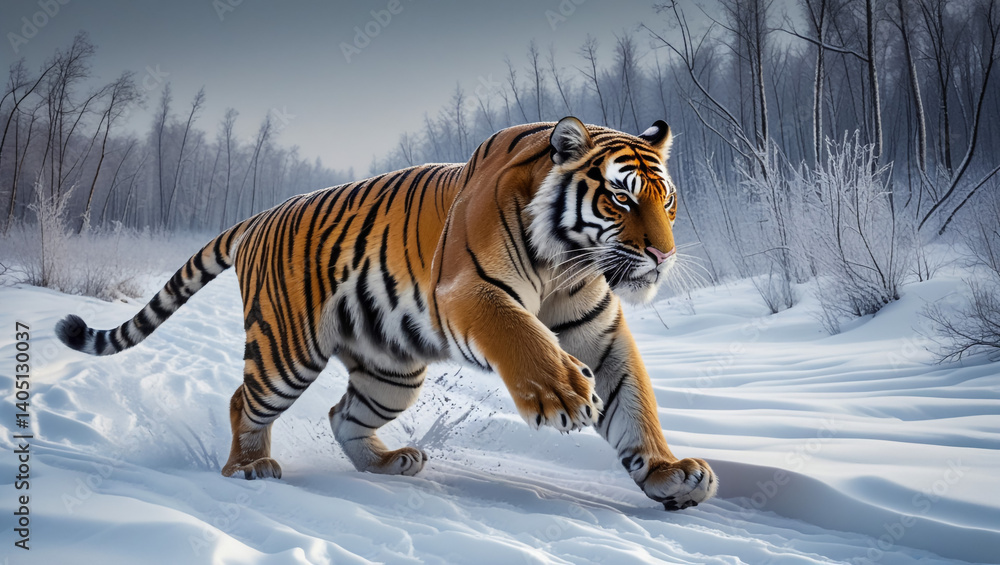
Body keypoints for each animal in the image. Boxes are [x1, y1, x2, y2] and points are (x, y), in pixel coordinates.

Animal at [55, 117, 718, 510]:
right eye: (621, 197)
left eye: (668, 202)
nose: (664, 254)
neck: (567, 260)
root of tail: (261, 215)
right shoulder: (467, 292)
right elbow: (522, 336)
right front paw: (563, 396)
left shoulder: (597, 330)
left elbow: (634, 400)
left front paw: (668, 474)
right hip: (286, 351)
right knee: (245, 400)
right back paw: (249, 467)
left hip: (391, 372)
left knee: (341, 412)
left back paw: (389, 460)